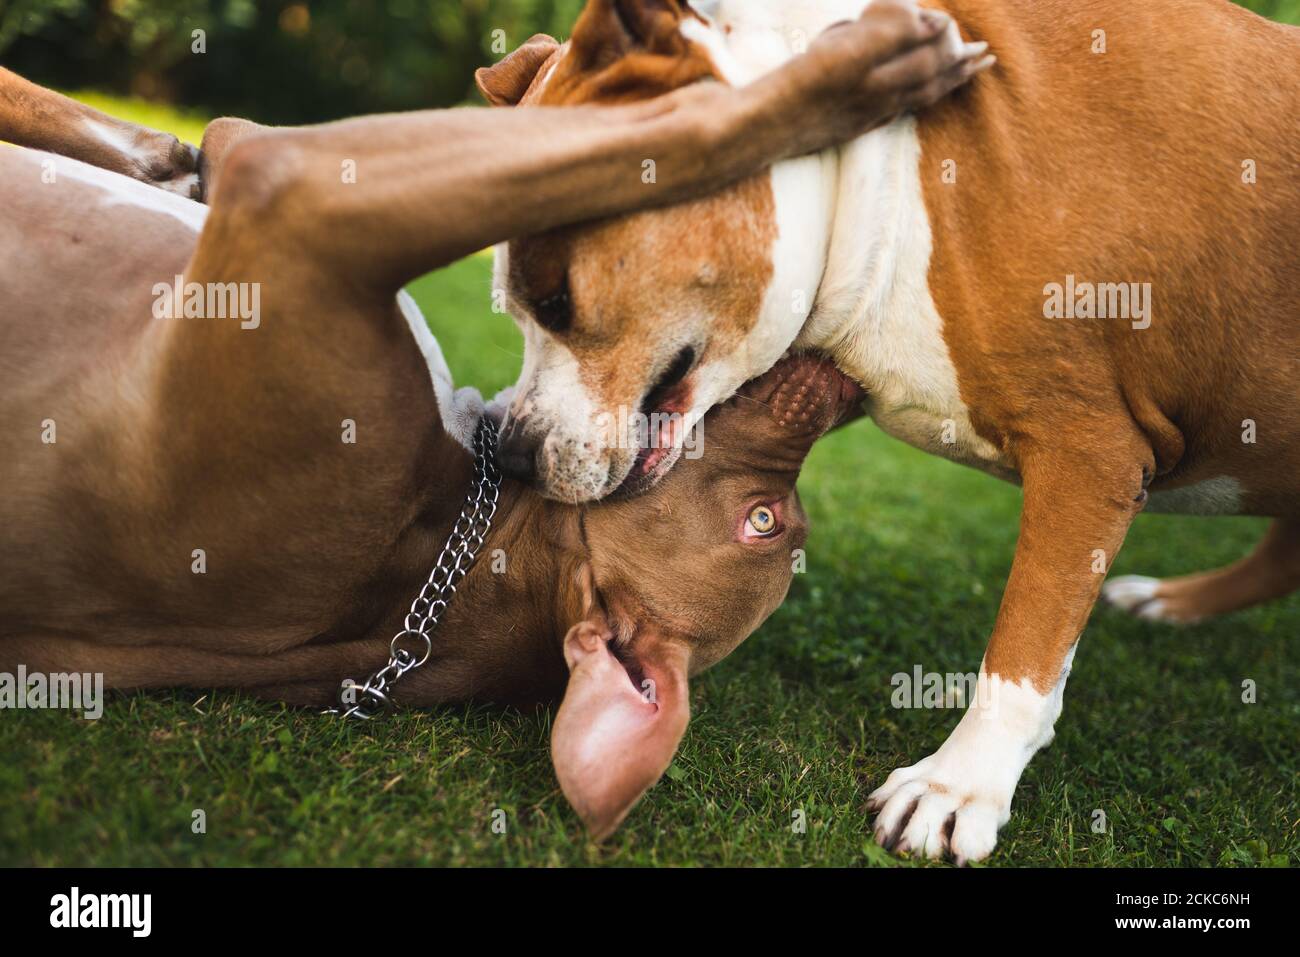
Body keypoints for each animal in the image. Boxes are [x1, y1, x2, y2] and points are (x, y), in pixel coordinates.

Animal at [480, 0, 1300, 868]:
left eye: (556, 298)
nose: (513, 453)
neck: (875, 178)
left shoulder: (1090, 451)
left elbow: (1026, 642)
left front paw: (959, 784)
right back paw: (1173, 603)